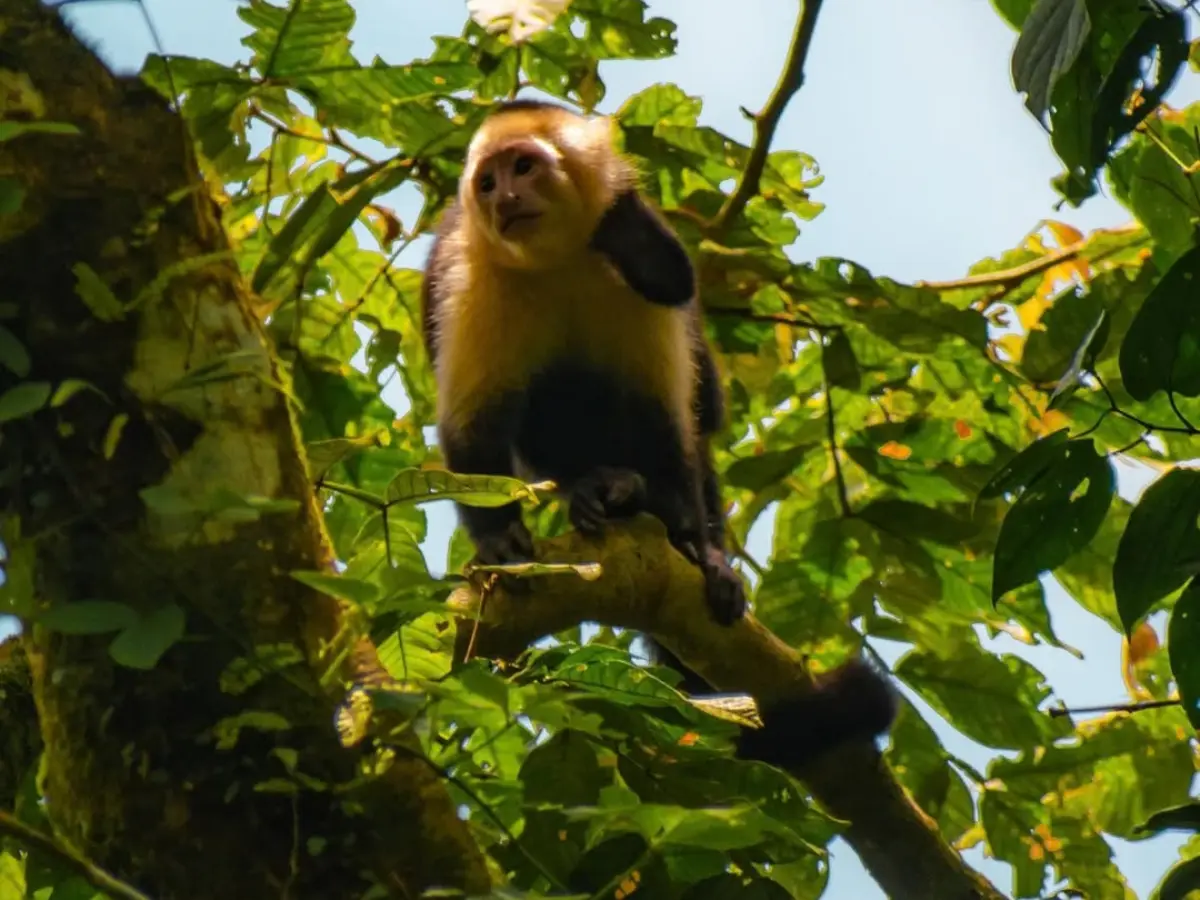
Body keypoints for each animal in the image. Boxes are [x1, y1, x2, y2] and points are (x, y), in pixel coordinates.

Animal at [419, 98, 743, 692]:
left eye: (523, 168)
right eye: (487, 182)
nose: (504, 199)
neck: (557, 259)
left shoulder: (635, 255)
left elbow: (671, 411)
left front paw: (697, 546)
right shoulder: (471, 272)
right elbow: (471, 425)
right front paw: (499, 539)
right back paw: (598, 486)